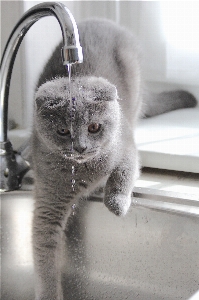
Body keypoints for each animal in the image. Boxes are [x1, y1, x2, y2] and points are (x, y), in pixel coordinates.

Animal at [31, 19, 196, 300]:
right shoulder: (48, 199)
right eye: (63, 131)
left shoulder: (126, 144)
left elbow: (123, 172)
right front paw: (49, 294)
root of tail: (102, 20)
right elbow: (44, 252)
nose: (81, 146)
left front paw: (117, 204)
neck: (82, 172)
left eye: (94, 127)